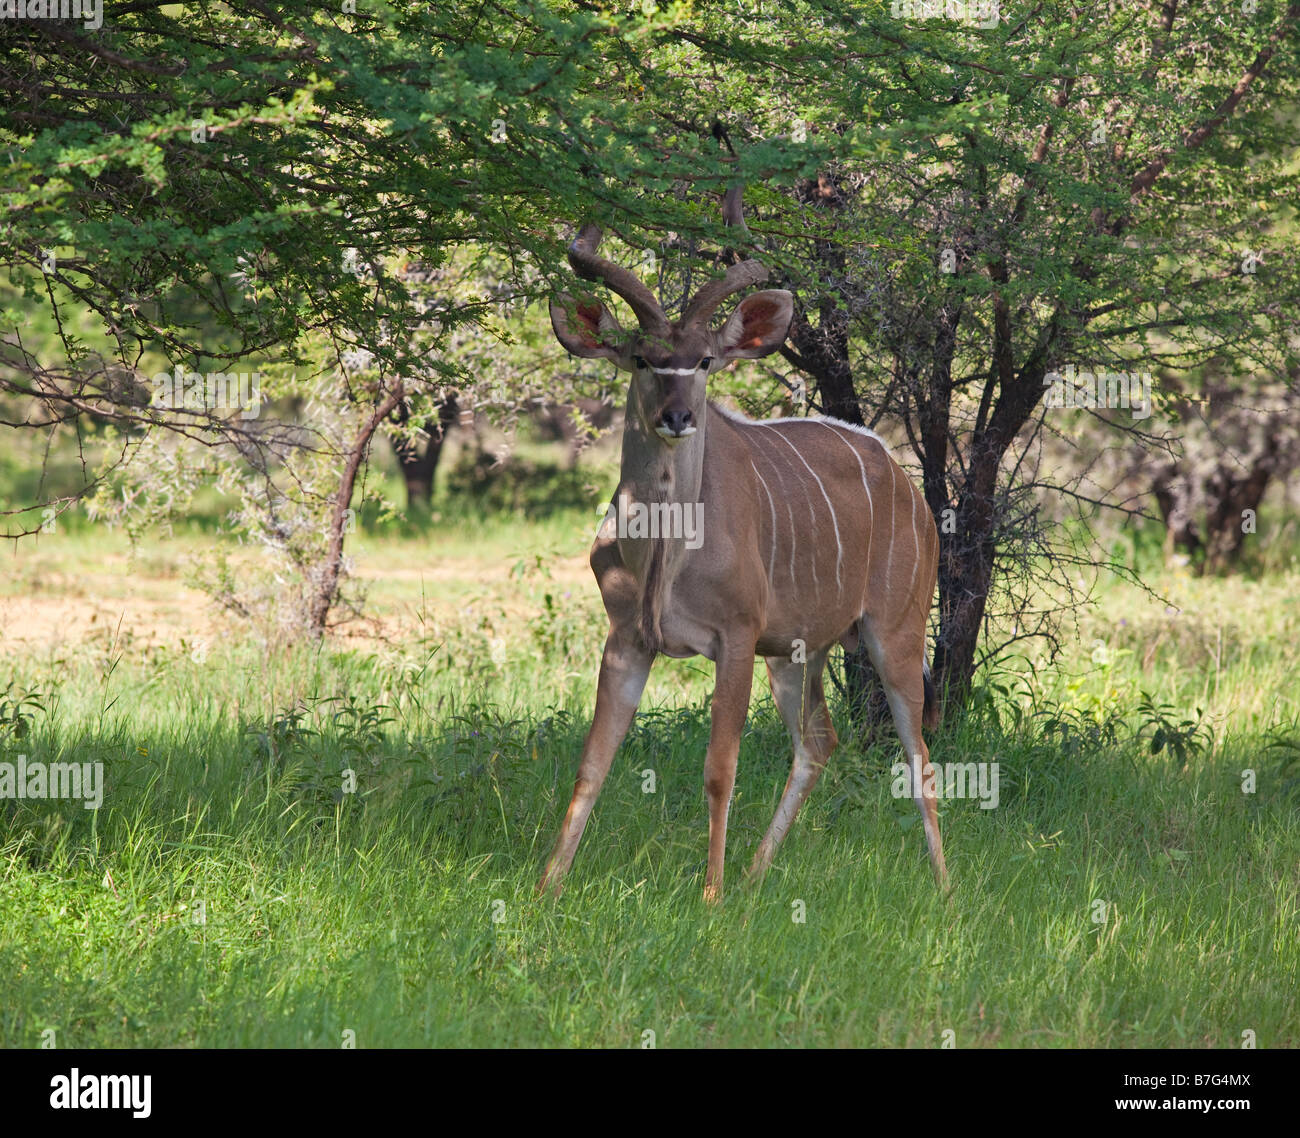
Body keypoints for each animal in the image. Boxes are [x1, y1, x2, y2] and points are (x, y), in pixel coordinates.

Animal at [538, 188, 946, 899]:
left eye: (704, 360)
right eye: (641, 358)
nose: (677, 416)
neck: (666, 553)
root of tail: (907, 486)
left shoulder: (734, 639)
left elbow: (718, 769)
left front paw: (711, 896)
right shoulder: (628, 638)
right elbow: (592, 765)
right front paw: (544, 890)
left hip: (893, 632)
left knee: (917, 753)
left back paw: (945, 889)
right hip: (795, 652)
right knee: (818, 740)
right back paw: (758, 877)